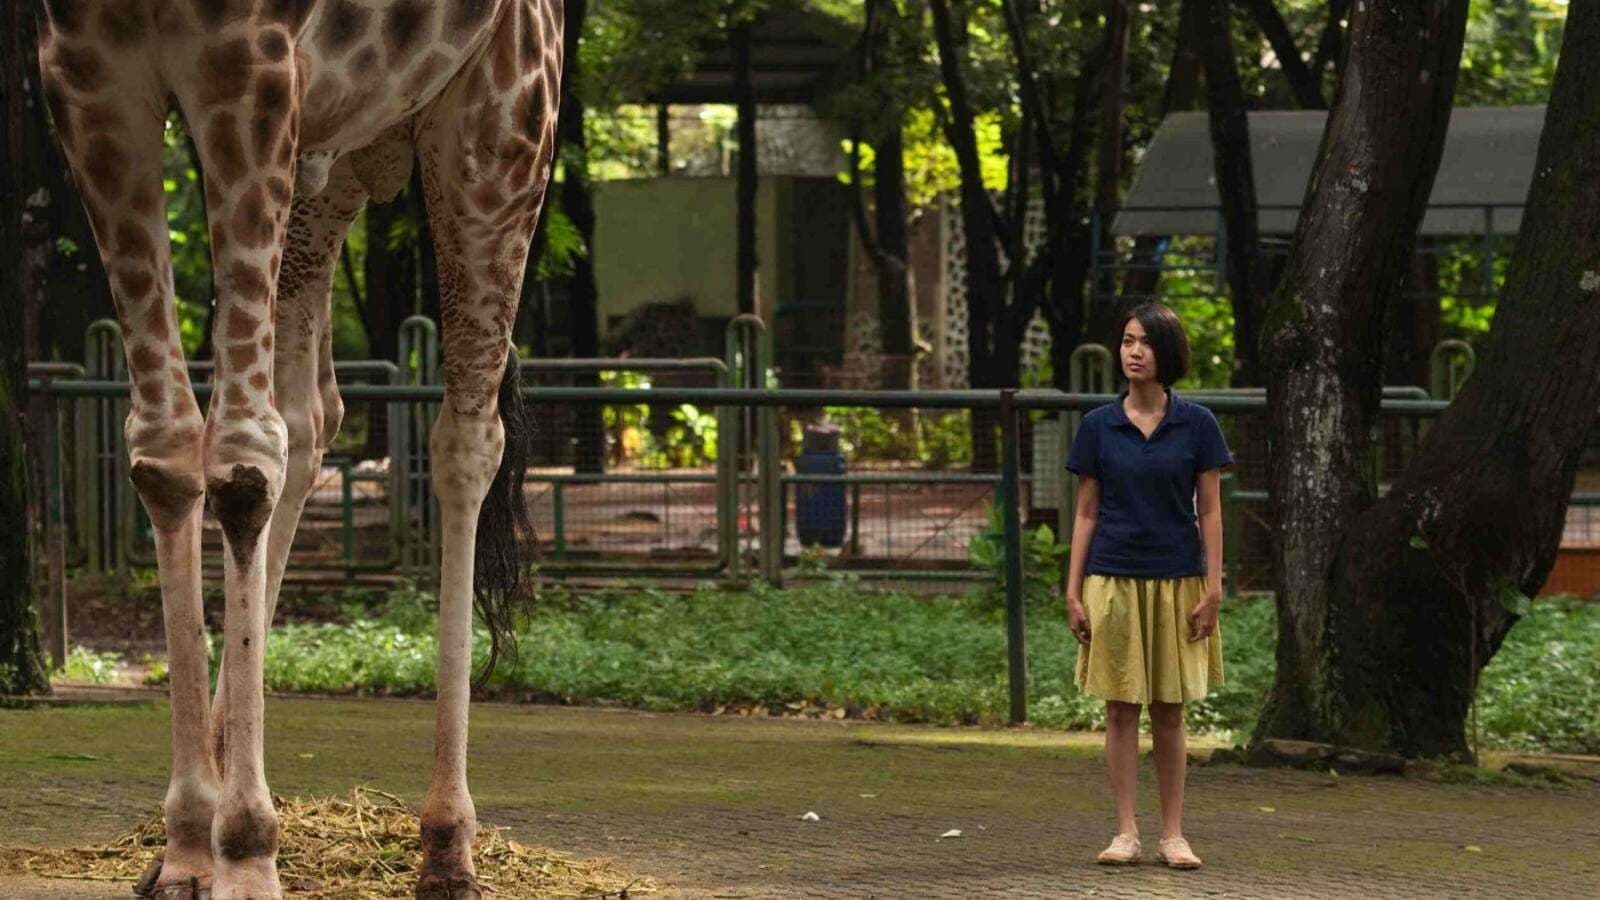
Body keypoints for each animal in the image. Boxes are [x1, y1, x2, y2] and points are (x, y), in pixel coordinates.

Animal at [35, 1, 563, 897]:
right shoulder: (89, 79)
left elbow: (243, 462)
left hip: (500, 124)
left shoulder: (251, 68)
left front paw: (246, 849)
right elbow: (165, 451)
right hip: (333, 161)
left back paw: (447, 845)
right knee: (312, 416)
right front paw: (188, 844)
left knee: (465, 437)